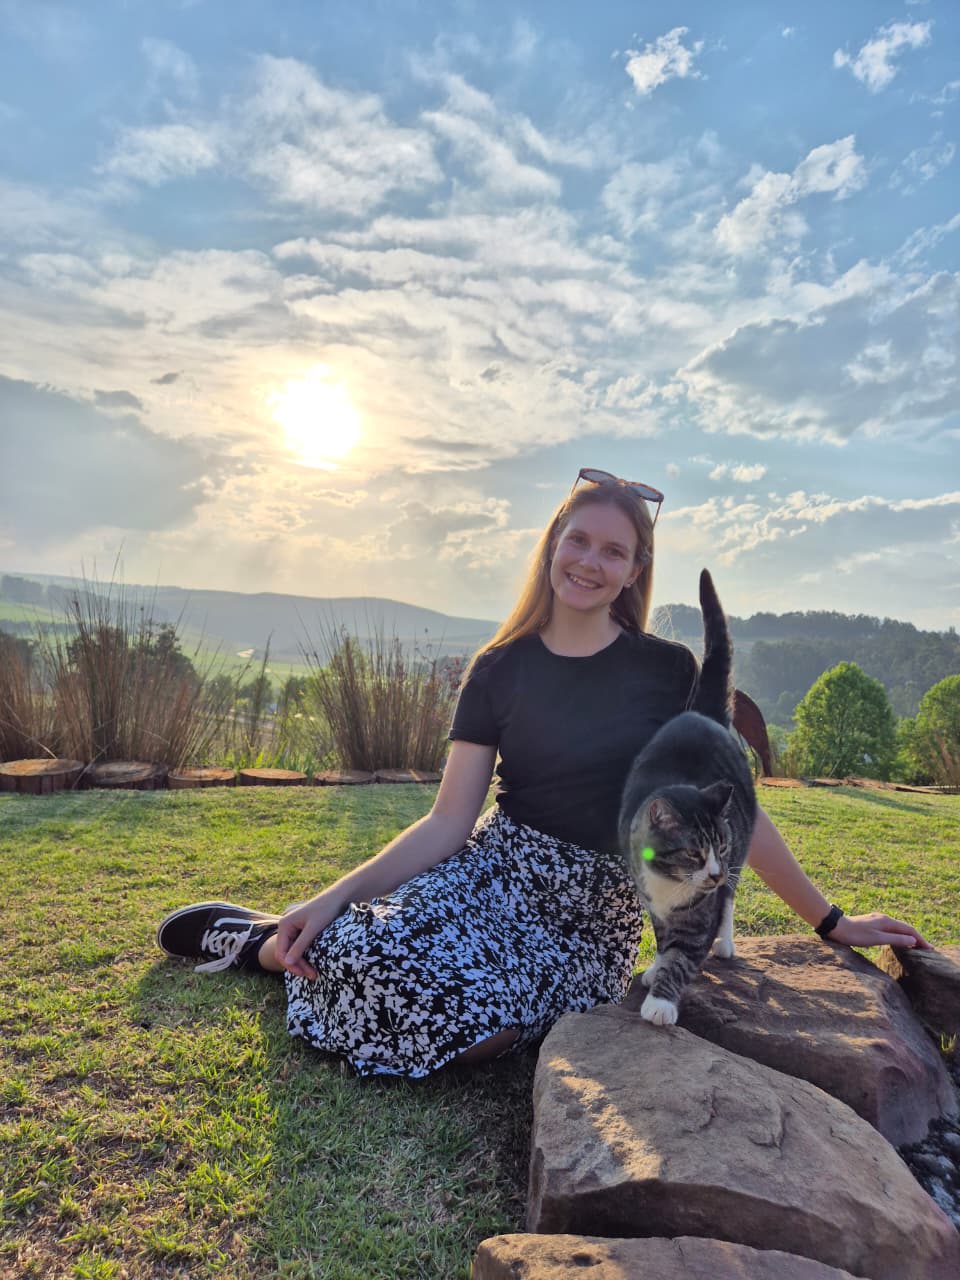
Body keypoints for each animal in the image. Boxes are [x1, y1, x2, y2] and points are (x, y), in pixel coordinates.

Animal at [618, 568, 757, 1027]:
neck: (670, 882)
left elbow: (684, 955)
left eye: (721, 847)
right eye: (694, 853)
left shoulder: (702, 911)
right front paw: (655, 969)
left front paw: (661, 1002)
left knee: (729, 898)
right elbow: (665, 943)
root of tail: (704, 713)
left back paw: (726, 942)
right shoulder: (651, 901)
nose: (713, 872)